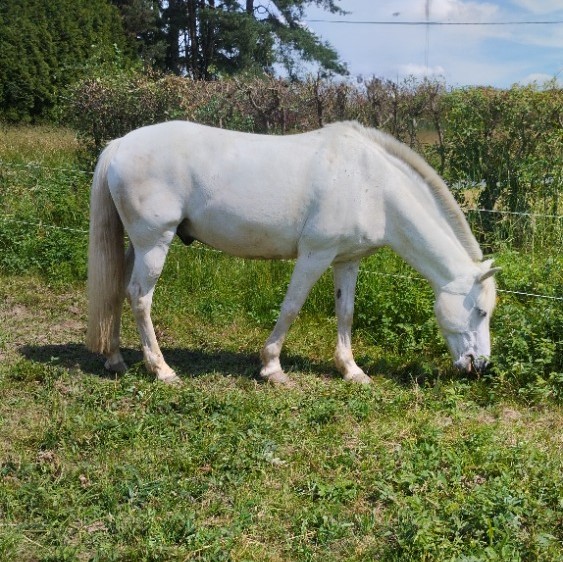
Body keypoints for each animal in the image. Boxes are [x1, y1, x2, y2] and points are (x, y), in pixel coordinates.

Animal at [86, 120, 500, 382]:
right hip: (154, 243)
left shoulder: (346, 261)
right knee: (140, 297)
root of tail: (121, 144)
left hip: (138, 245)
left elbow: (345, 313)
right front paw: (272, 368)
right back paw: (162, 370)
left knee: (116, 290)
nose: (480, 366)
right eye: (480, 311)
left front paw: (351, 371)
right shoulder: (315, 255)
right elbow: (291, 307)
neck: (373, 185)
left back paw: (115, 359)